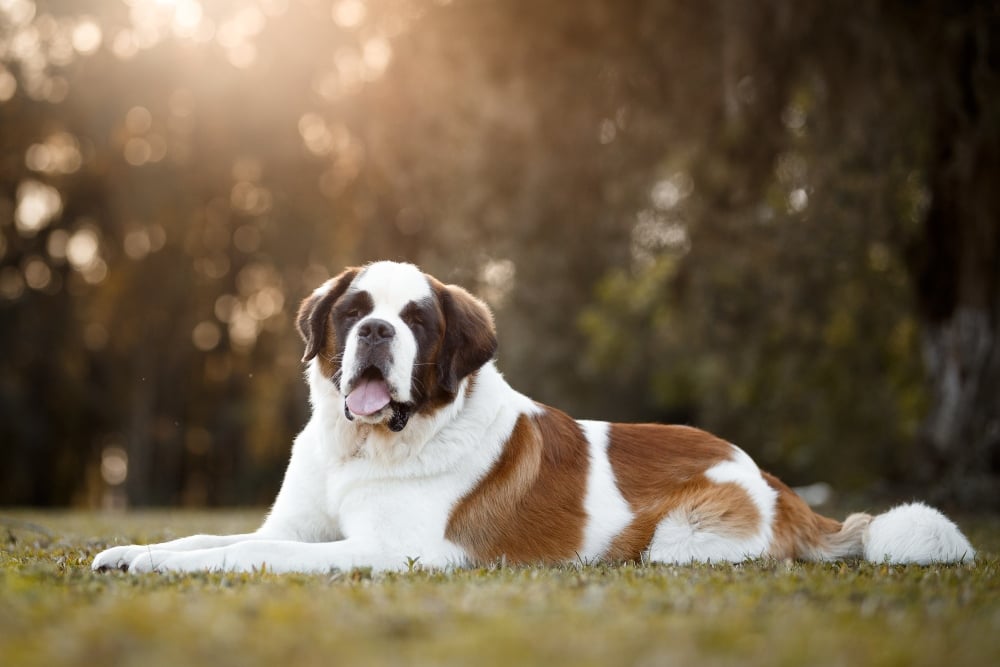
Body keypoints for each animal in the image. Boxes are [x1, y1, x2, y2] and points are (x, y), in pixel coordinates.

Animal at [92, 260, 968, 576]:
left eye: (417, 320)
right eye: (351, 310)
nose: (376, 331)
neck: (367, 446)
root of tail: (778, 481)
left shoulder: (399, 552)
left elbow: (252, 554)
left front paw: (165, 566)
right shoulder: (293, 524)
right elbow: (207, 537)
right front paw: (130, 552)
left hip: (682, 540)